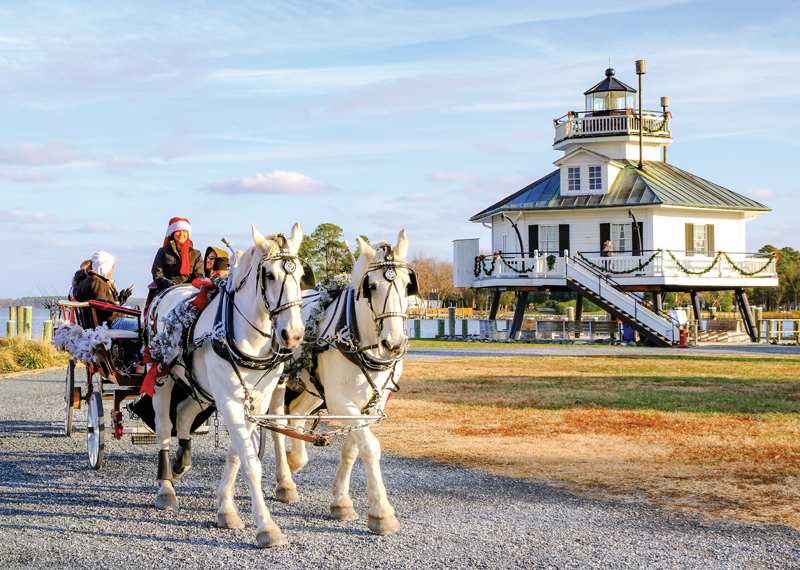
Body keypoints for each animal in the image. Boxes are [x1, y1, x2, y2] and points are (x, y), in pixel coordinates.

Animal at [145, 222, 310, 544]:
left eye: (299, 275)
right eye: (269, 275)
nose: (293, 335)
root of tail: (172, 289)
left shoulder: (255, 402)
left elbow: (237, 455)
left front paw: (226, 507)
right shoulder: (229, 401)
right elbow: (250, 463)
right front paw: (267, 527)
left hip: (201, 388)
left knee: (184, 415)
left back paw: (181, 463)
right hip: (160, 375)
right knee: (164, 428)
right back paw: (166, 487)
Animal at [270, 229, 418, 536]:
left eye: (407, 283)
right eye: (371, 286)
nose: (394, 344)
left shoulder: (371, 404)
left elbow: (353, 448)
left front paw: (341, 501)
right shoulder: (341, 400)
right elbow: (370, 447)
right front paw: (382, 512)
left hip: (313, 389)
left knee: (297, 417)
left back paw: (295, 460)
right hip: (278, 383)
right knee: (277, 425)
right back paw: (285, 482)